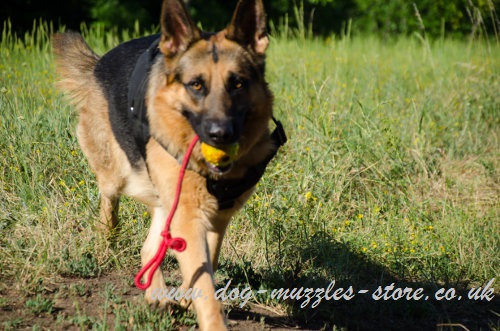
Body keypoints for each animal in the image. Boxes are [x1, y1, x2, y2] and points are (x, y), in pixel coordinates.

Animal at [53, 0, 286, 330]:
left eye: (238, 84)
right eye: (196, 85)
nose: (220, 134)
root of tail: (100, 63)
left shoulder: (215, 218)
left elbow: (206, 267)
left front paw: (188, 298)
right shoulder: (189, 217)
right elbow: (205, 286)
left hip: (167, 203)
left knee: (149, 248)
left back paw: (157, 294)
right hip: (115, 176)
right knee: (109, 205)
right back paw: (107, 242)